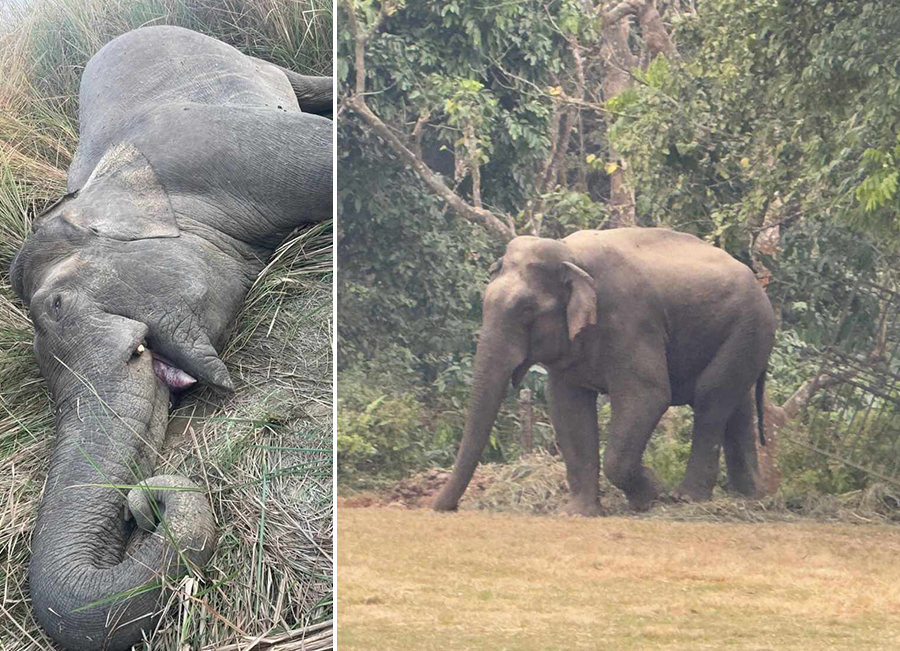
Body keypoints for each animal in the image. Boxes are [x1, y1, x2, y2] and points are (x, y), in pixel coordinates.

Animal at [432, 229, 776, 520]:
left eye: (526, 310)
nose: (443, 508)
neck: (569, 252)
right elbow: (568, 408)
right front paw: (580, 513)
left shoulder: (631, 319)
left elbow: (649, 395)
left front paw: (651, 492)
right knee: (737, 405)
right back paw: (750, 497)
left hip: (750, 326)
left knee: (710, 398)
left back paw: (687, 498)